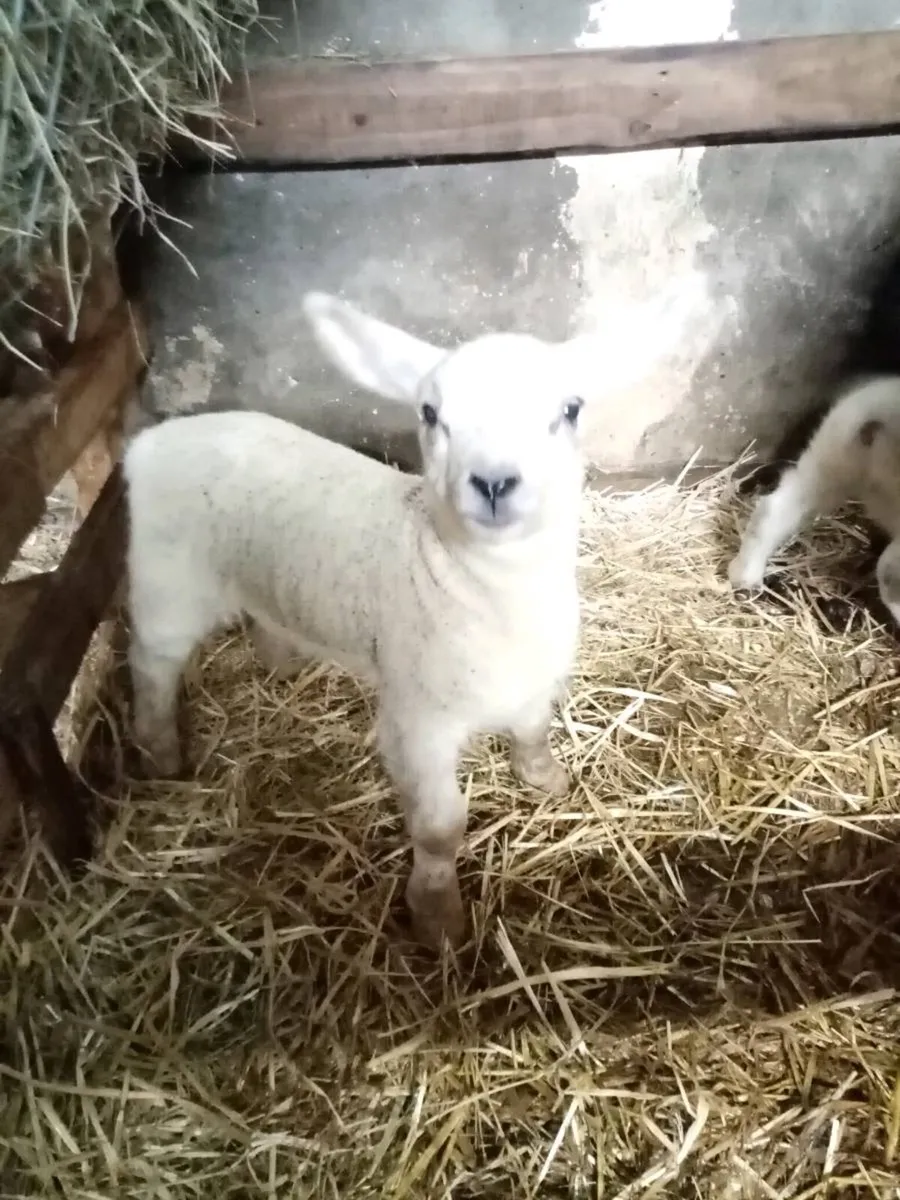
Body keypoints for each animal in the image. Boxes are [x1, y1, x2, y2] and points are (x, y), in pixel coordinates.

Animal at [124, 291, 589, 950]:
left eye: (570, 410)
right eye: (430, 414)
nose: (494, 482)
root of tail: (152, 441)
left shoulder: (532, 683)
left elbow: (533, 732)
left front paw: (546, 779)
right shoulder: (417, 723)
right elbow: (440, 826)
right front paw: (438, 919)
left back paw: (279, 662)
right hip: (168, 581)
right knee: (151, 663)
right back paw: (160, 752)